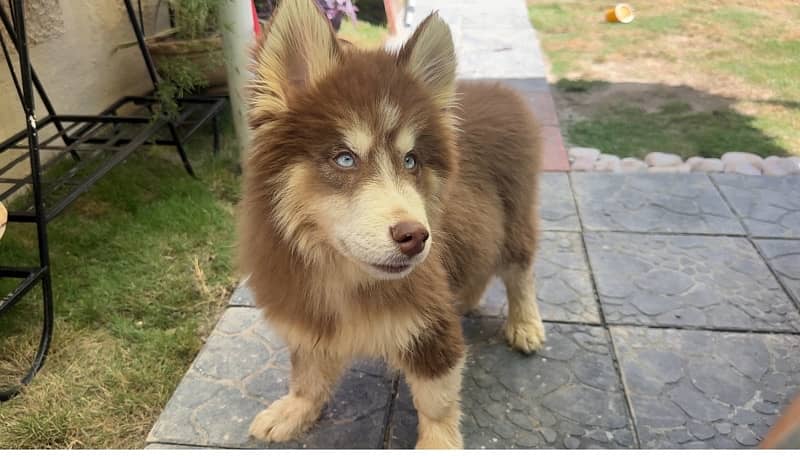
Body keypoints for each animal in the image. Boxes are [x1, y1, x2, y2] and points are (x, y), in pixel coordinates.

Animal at [239, 0, 544, 448]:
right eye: (344, 158)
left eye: (411, 161)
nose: (416, 237)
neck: (345, 276)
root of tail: (497, 90)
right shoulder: (308, 313)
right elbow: (307, 372)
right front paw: (294, 410)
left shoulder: (431, 326)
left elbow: (437, 401)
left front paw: (438, 444)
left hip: (516, 216)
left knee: (520, 272)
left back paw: (525, 324)